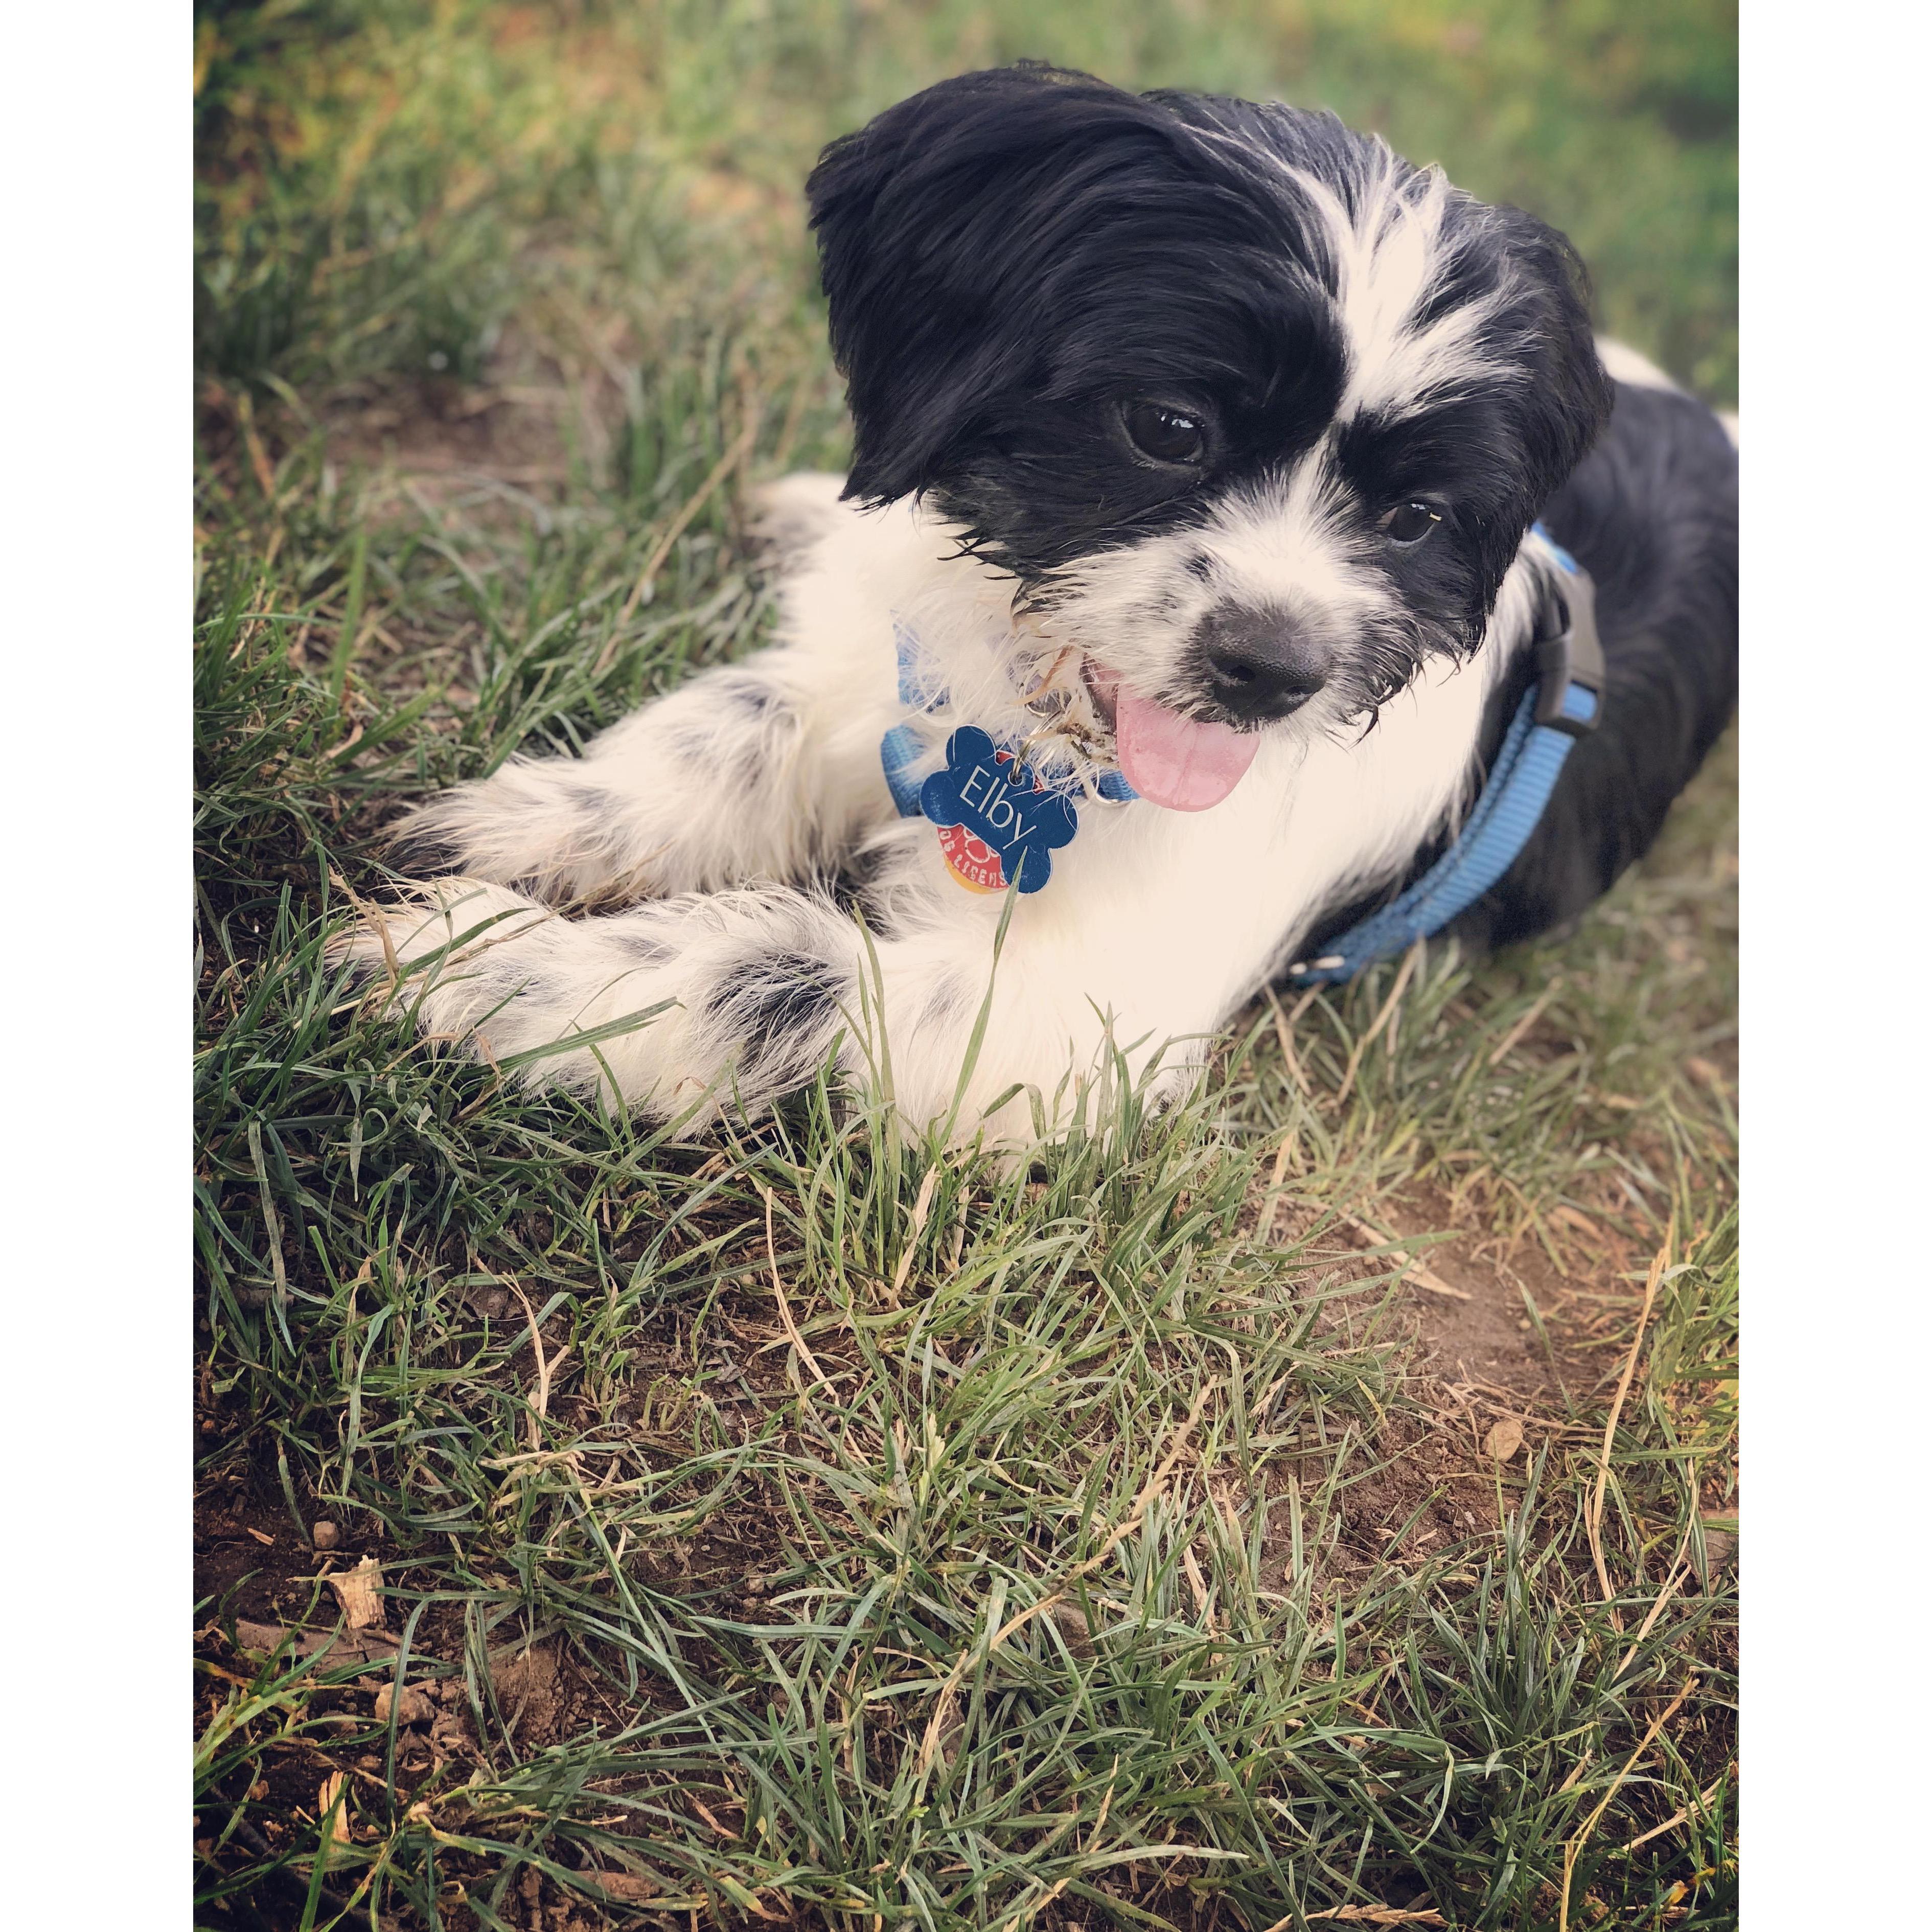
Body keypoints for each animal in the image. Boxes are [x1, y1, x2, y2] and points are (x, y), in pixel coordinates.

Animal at [351, 68, 1754, 1136]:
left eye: (1415, 521)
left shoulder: (1080, 1023)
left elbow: (777, 970)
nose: (1274, 671)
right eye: (1169, 428)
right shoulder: (875, 670)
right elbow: (730, 730)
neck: (1037, 731)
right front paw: (538, 823)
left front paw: (494, 970)